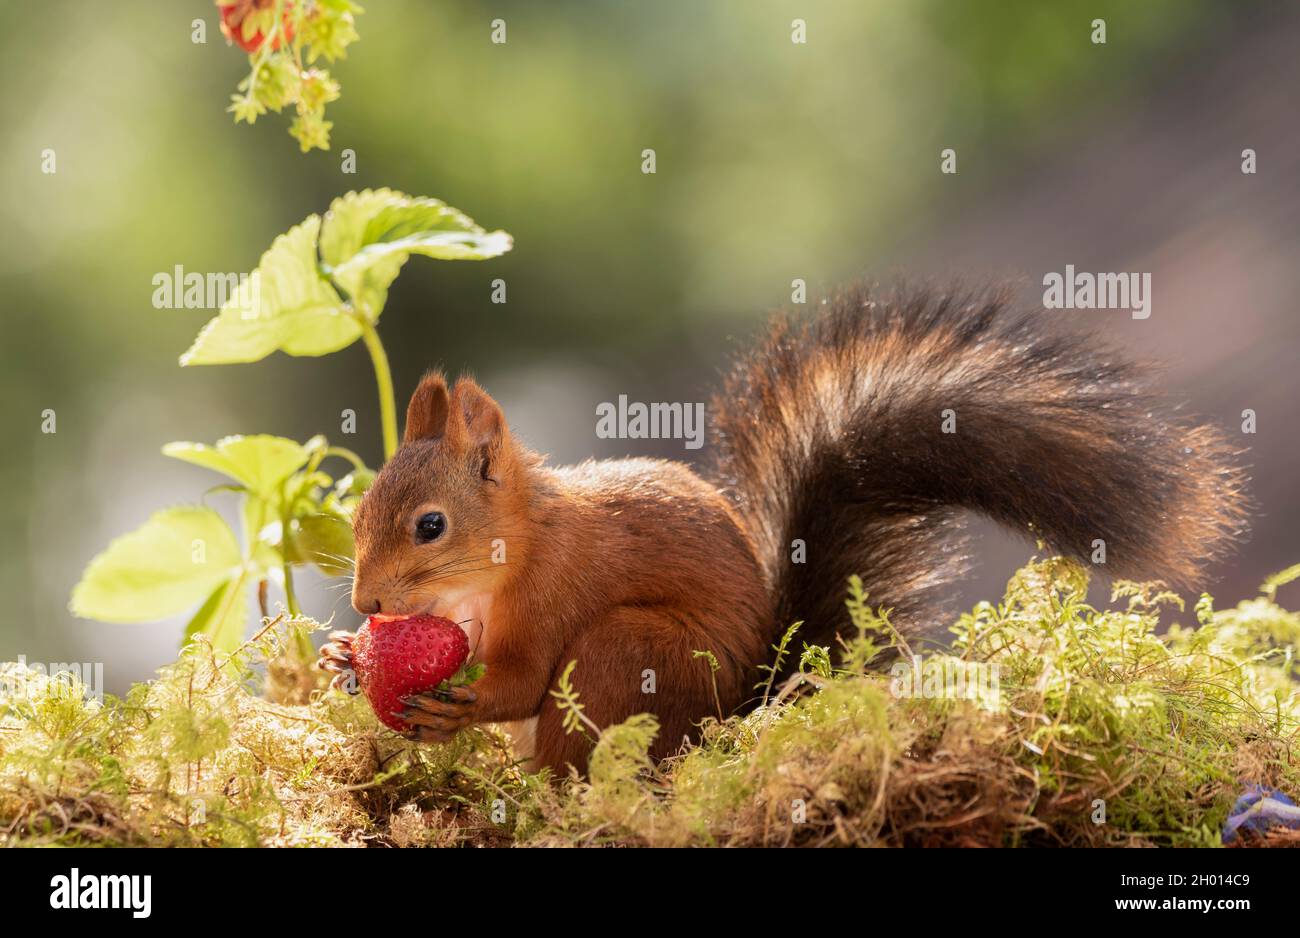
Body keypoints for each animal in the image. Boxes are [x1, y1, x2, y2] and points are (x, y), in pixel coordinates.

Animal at [319, 282, 1248, 775]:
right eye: (358, 512)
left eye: (430, 525)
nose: (366, 604)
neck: (499, 564)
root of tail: (740, 709)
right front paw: (343, 658)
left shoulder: (555, 594)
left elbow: (514, 685)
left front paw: (452, 707)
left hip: (627, 652)